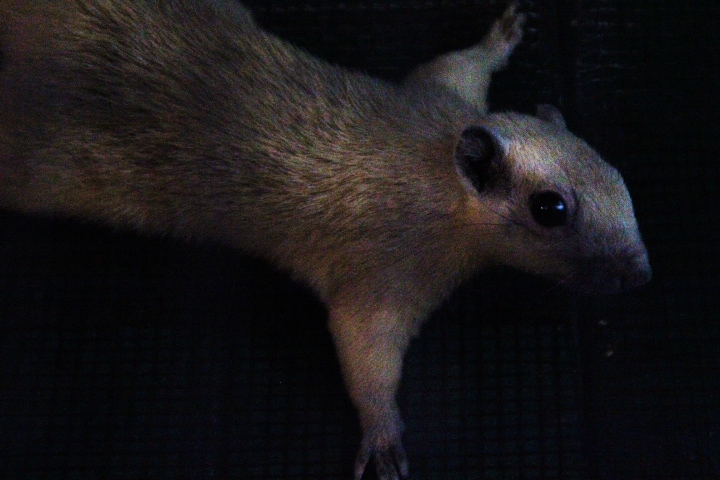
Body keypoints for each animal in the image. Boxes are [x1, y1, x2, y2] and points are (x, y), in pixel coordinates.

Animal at [0, 1, 651, 479]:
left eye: (618, 174)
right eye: (550, 209)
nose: (640, 275)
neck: (435, 159)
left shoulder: (445, 93)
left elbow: (459, 63)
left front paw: (501, 35)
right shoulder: (384, 270)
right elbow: (363, 348)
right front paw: (382, 433)